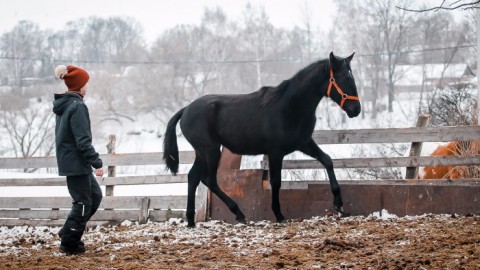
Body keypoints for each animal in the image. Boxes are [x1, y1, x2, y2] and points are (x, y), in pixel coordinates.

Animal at [164, 51, 360, 227]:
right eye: (346, 78)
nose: (356, 110)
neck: (291, 106)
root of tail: (186, 109)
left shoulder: (304, 143)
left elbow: (327, 160)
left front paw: (339, 204)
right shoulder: (275, 152)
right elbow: (276, 182)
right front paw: (279, 215)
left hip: (202, 152)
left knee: (193, 177)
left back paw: (191, 221)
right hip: (210, 150)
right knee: (209, 180)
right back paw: (239, 213)